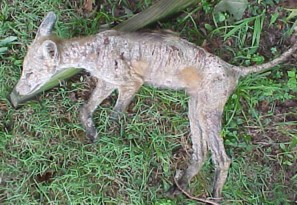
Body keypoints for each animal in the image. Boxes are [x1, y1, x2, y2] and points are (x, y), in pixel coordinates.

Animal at [12, 11, 296, 200]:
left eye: (29, 72)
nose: (14, 95)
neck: (94, 53)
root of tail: (234, 69)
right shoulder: (107, 82)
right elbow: (84, 110)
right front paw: (93, 135)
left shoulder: (130, 83)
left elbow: (115, 117)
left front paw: (110, 146)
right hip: (194, 109)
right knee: (201, 154)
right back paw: (176, 189)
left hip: (207, 111)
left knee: (222, 159)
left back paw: (213, 195)